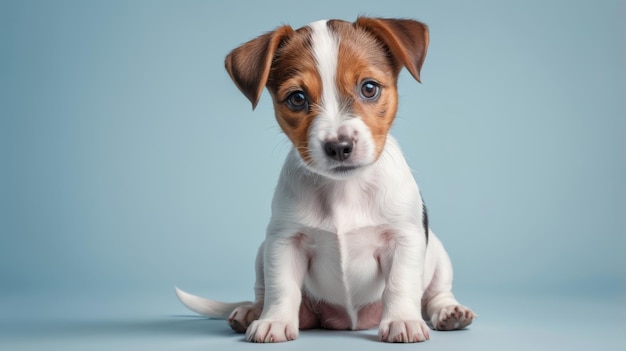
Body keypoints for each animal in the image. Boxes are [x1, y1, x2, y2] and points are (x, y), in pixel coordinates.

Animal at [176, 16, 472, 344]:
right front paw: (275, 320)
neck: (345, 189)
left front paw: (401, 320)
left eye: (369, 88)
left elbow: (400, 284)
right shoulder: (284, 242)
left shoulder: (404, 238)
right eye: (297, 98)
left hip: (439, 255)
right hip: (263, 250)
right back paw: (253, 311)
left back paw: (449, 312)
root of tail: (349, 322)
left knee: (435, 293)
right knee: (263, 292)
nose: (339, 147)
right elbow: (281, 287)